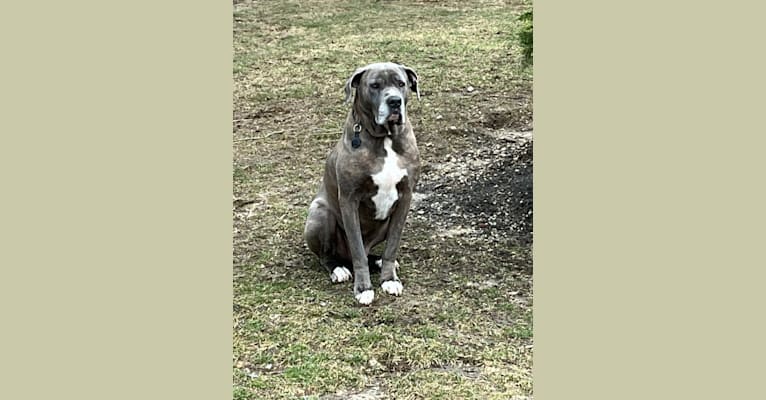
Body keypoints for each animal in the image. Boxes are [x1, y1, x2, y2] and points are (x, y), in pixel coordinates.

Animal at [304, 62, 424, 304]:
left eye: (401, 83)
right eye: (375, 85)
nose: (394, 101)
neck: (385, 138)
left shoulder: (405, 198)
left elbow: (392, 247)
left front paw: (389, 279)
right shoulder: (349, 200)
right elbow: (357, 251)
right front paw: (363, 288)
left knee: (368, 251)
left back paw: (376, 261)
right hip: (320, 213)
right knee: (330, 255)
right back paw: (338, 268)